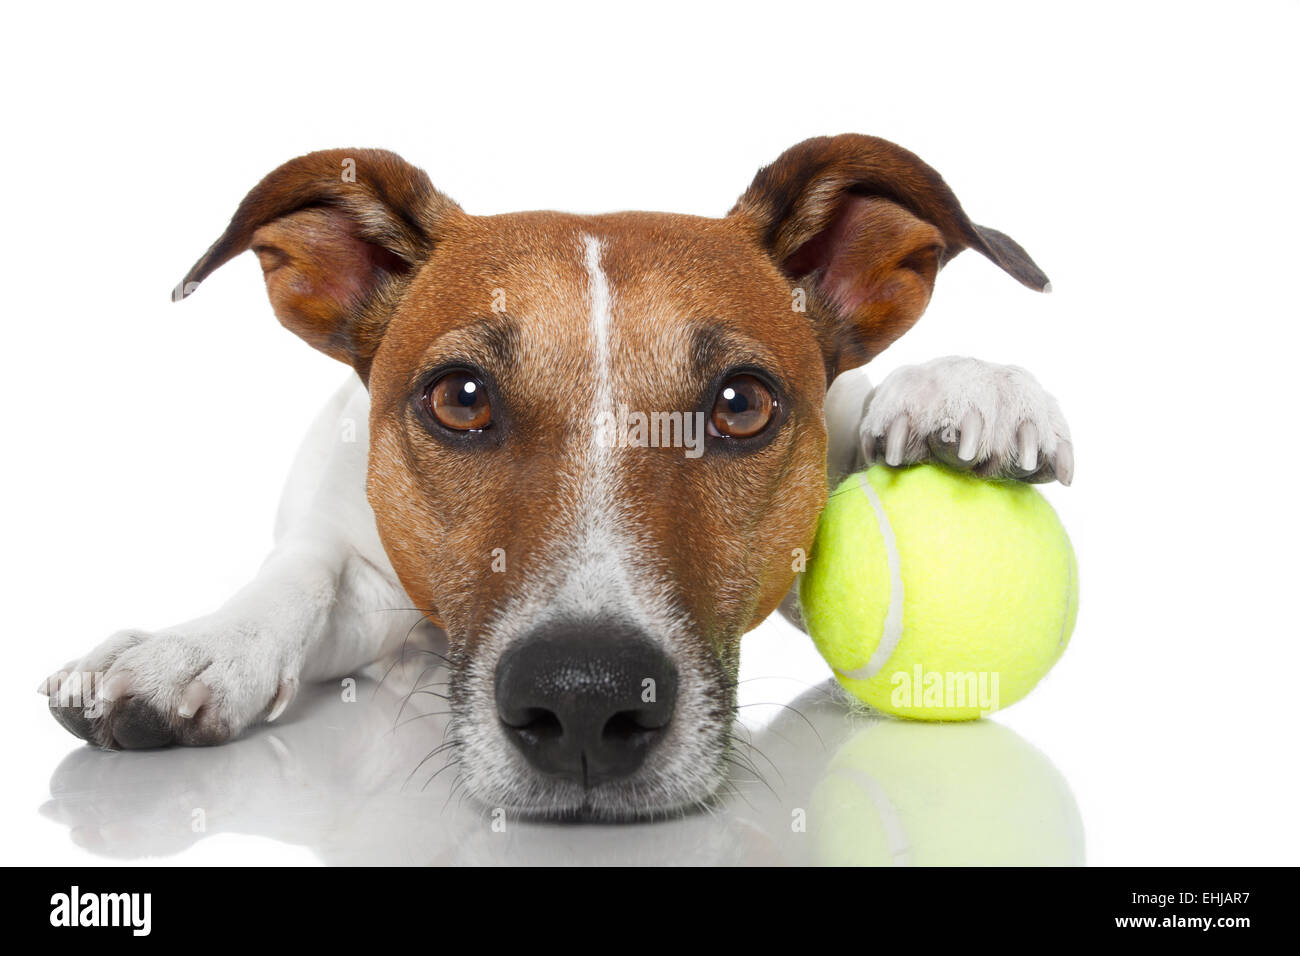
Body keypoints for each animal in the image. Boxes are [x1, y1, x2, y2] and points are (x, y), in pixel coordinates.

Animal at [43, 134, 1076, 822]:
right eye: (460, 398)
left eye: (742, 404)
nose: (586, 698)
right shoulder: (355, 563)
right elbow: (301, 577)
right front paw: (193, 649)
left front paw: (956, 388)